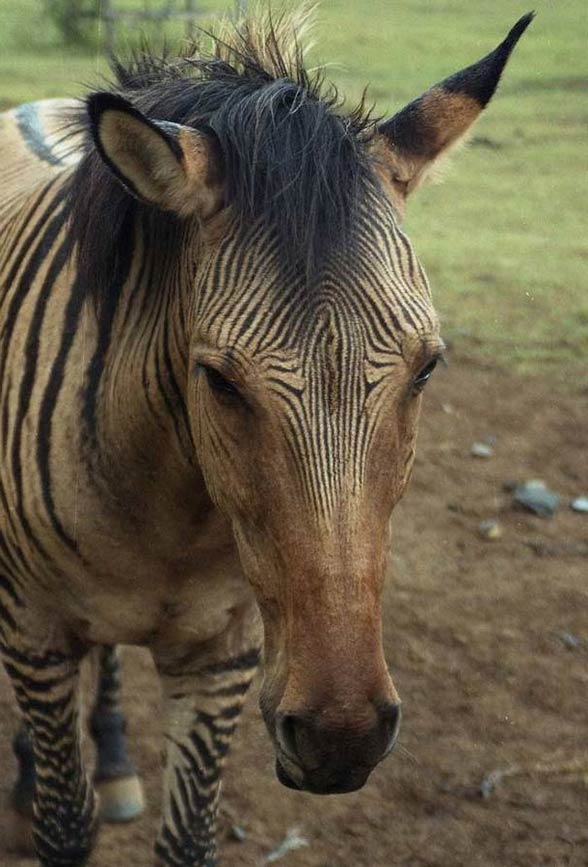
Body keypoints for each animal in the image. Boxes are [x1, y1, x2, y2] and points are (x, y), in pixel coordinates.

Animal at [0, 8, 533, 867]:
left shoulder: (223, 656)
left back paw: (113, 758)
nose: (341, 736)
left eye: (427, 368)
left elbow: (188, 839)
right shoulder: (36, 633)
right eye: (219, 380)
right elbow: (65, 825)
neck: (168, 514)